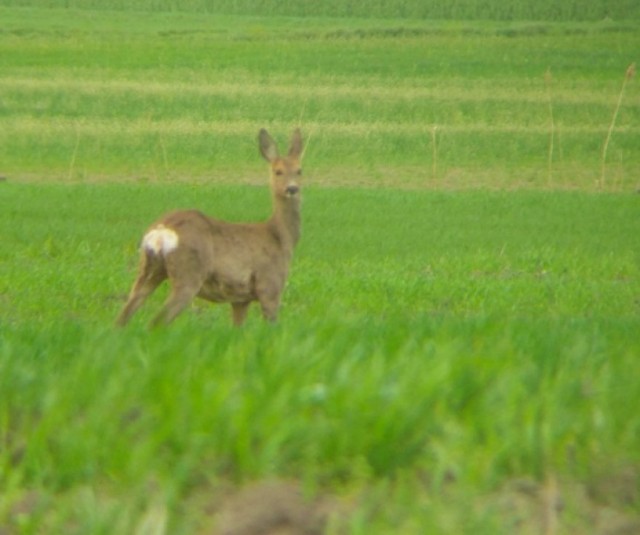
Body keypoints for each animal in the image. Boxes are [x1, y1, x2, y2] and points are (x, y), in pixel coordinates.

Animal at [117, 131, 304, 328]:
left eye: (299, 170)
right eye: (278, 171)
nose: (292, 188)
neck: (280, 236)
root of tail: (162, 230)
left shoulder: (240, 299)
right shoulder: (270, 286)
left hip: (148, 268)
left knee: (123, 317)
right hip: (188, 273)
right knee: (157, 321)